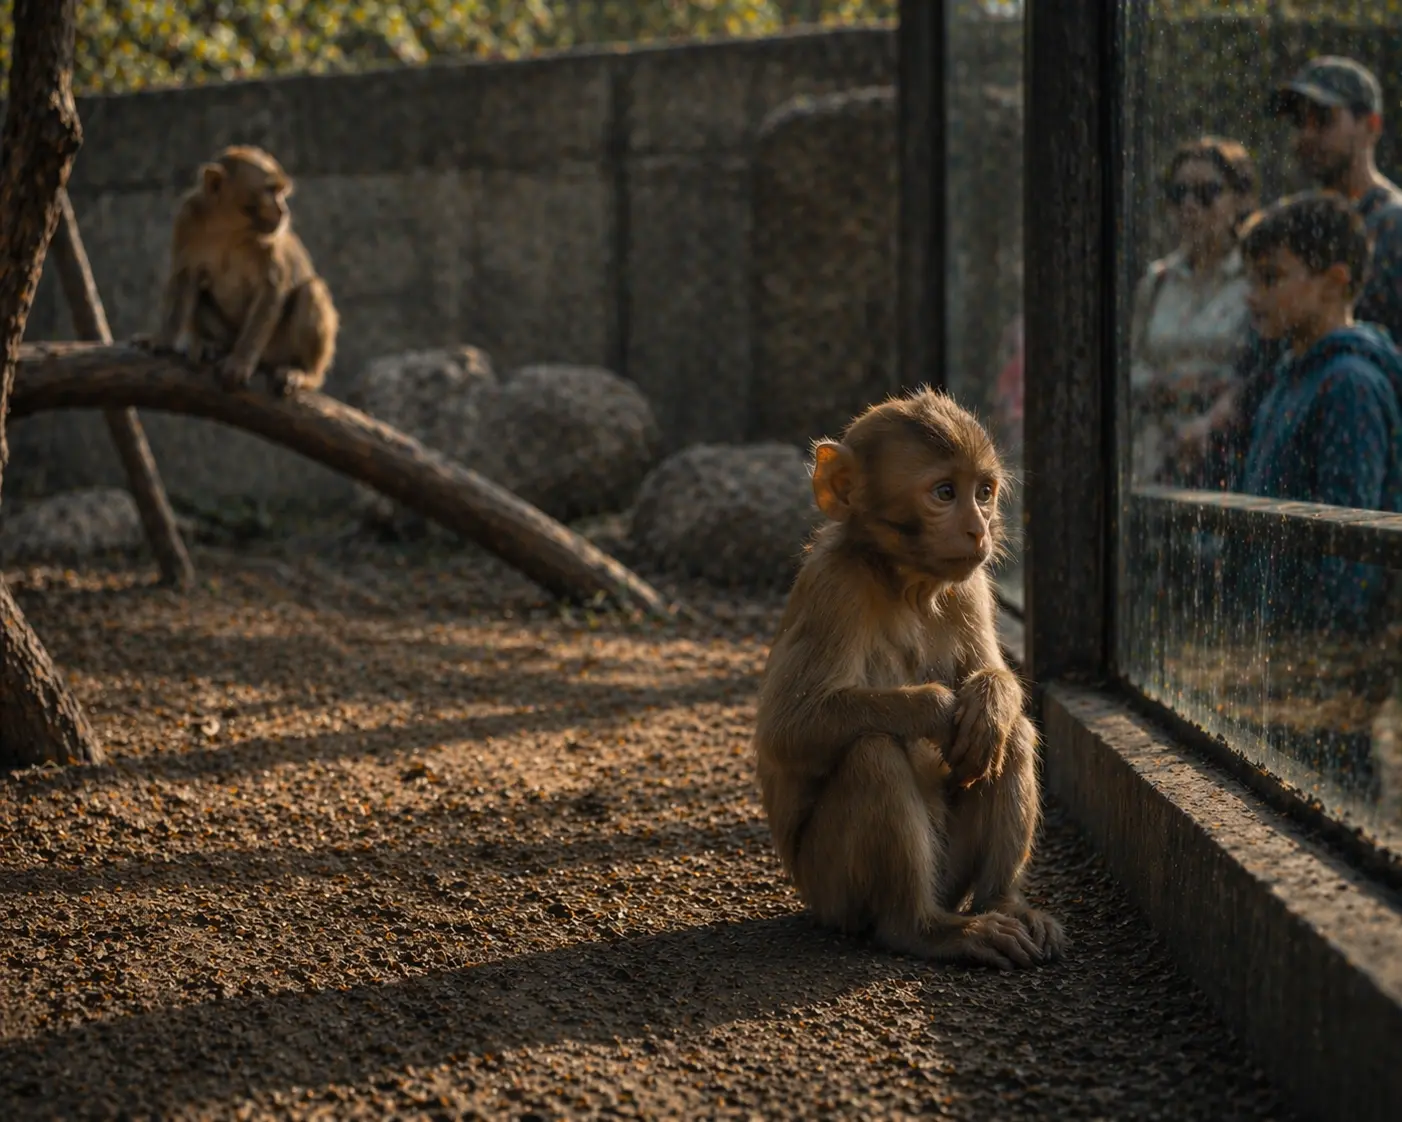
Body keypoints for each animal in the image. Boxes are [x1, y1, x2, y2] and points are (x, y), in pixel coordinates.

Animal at [142, 145, 338, 396]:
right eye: (270, 190)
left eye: (280, 191)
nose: (283, 210)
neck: (230, 227)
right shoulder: (186, 219)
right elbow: (185, 278)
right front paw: (164, 339)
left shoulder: (270, 241)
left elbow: (272, 289)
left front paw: (240, 362)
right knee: (201, 293)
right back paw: (212, 346)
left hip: (278, 348)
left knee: (311, 290)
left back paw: (306, 374)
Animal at [752, 387, 1065, 970]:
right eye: (944, 493)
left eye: (983, 491)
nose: (978, 529)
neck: (904, 582)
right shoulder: (834, 587)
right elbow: (786, 729)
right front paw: (937, 710)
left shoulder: (970, 588)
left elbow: (991, 683)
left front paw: (988, 702)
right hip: (831, 892)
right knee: (871, 752)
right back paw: (921, 928)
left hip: (951, 875)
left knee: (1013, 737)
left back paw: (1004, 902)